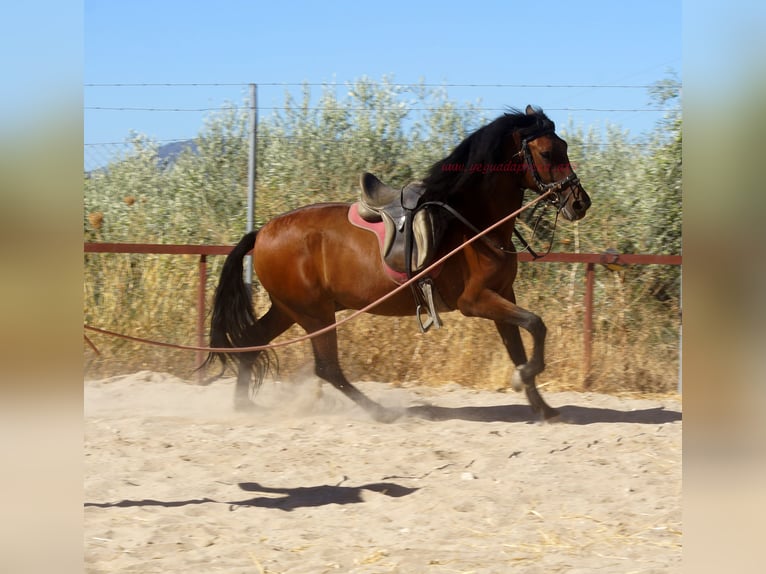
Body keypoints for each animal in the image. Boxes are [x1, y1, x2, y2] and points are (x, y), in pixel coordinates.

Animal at [205, 105, 591, 422]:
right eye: (547, 152)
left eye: (564, 147)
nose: (580, 203)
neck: (470, 223)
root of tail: (262, 232)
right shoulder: (475, 301)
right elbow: (537, 326)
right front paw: (523, 378)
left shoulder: (502, 295)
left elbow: (518, 345)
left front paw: (542, 407)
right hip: (314, 313)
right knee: (327, 368)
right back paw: (380, 411)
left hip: (290, 309)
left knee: (253, 341)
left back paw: (244, 407)